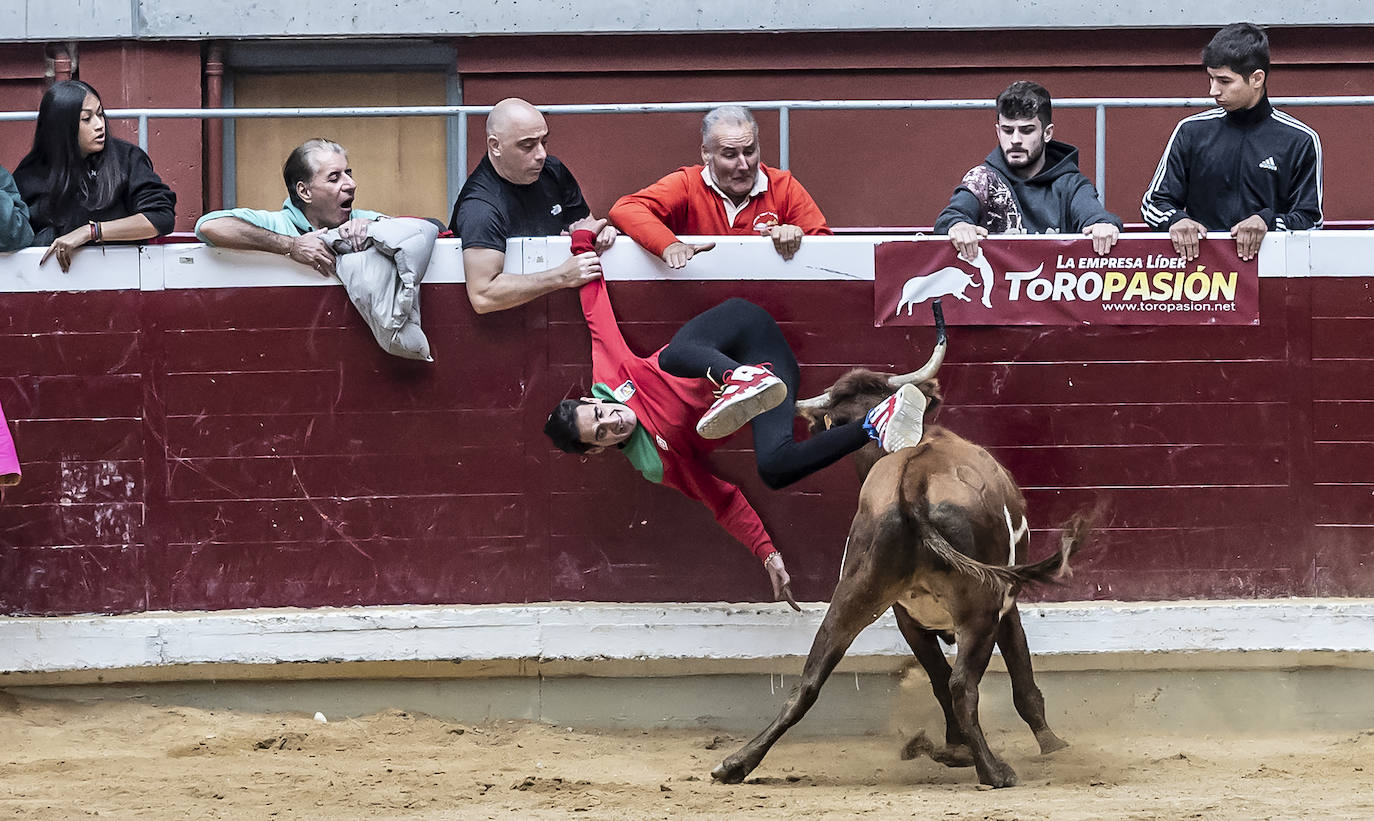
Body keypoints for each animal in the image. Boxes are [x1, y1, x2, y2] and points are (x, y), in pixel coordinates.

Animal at [714, 302, 1088, 790]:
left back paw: (737, 763)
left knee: (809, 681)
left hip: (855, 592)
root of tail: (913, 480)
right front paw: (1051, 745)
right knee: (963, 685)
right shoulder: (1006, 607)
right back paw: (994, 770)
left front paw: (954, 747)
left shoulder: (906, 617)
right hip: (981, 605)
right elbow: (1017, 677)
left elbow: (936, 676)